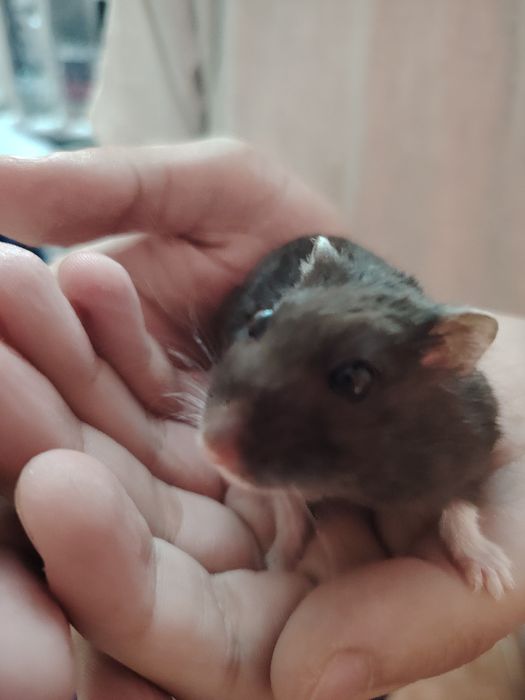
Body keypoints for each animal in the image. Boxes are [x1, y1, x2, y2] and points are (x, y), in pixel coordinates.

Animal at [199, 235, 514, 597]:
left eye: (353, 379)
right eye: (258, 322)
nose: (209, 447)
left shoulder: (475, 443)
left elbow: (463, 505)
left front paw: (494, 577)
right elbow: (287, 507)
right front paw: (278, 562)